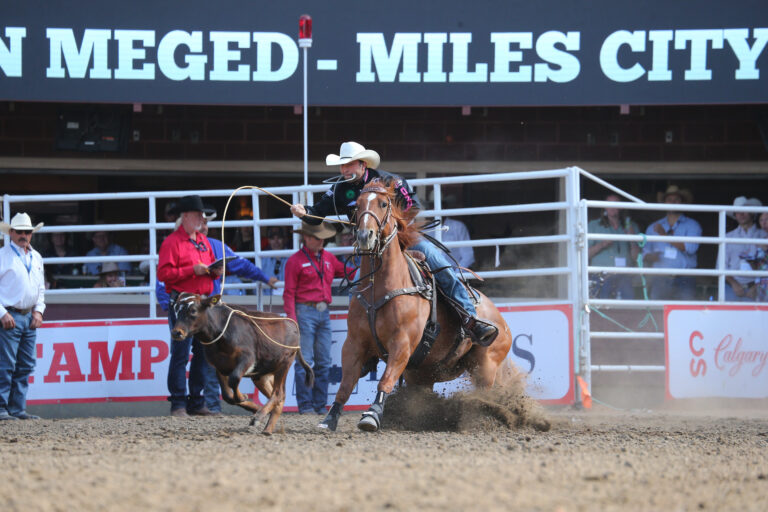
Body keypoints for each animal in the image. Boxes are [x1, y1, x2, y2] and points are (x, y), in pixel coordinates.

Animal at [170, 294, 310, 434]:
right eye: (176, 309)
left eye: (193, 310)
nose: (176, 332)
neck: (221, 332)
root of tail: (293, 325)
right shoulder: (219, 367)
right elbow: (227, 395)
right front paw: (253, 406)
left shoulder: (247, 359)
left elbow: (234, 379)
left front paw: (243, 397)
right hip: (262, 375)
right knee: (278, 397)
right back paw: (267, 426)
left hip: (284, 364)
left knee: (278, 394)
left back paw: (259, 418)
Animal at [320, 180, 512, 432]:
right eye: (355, 206)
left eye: (383, 204)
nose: (364, 236)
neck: (380, 288)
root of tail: (500, 319)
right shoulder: (354, 343)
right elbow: (346, 383)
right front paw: (330, 417)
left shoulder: (402, 344)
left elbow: (386, 378)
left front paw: (372, 414)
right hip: (421, 375)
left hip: (486, 365)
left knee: (485, 395)